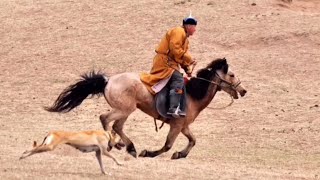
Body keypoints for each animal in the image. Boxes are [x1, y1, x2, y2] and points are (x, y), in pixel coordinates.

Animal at [45, 57, 248, 159]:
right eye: (231, 74)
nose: (244, 91)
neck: (192, 94)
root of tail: (108, 80)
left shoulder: (184, 126)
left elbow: (193, 140)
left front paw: (180, 154)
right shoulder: (176, 126)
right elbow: (167, 145)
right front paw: (149, 153)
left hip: (126, 111)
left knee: (117, 126)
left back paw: (126, 146)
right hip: (124, 110)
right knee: (105, 119)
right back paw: (117, 144)